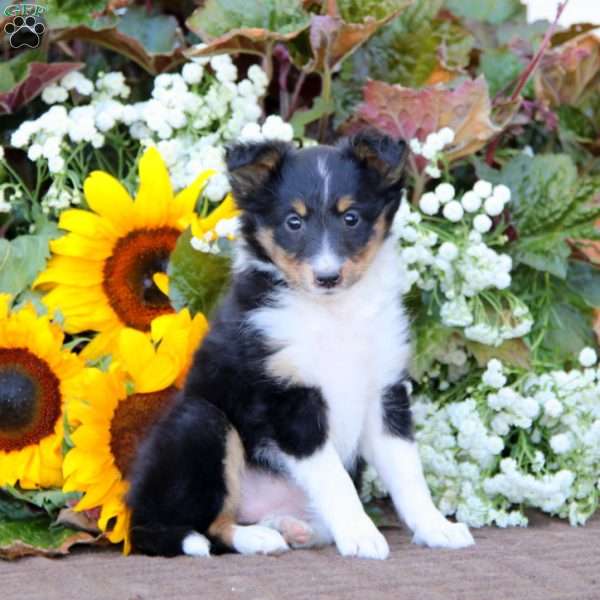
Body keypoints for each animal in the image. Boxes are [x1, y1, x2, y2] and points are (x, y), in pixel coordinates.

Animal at [126, 130, 474, 556]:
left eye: (351, 218)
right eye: (293, 222)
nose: (327, 277)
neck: (334, 313)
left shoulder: (385, 392)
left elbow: (408, 473)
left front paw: (437, 527)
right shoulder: (288, 401)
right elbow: (334, 480)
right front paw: (361, 535)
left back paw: (290, 527)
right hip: (201, 423)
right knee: (196, 527)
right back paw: (257, 537)